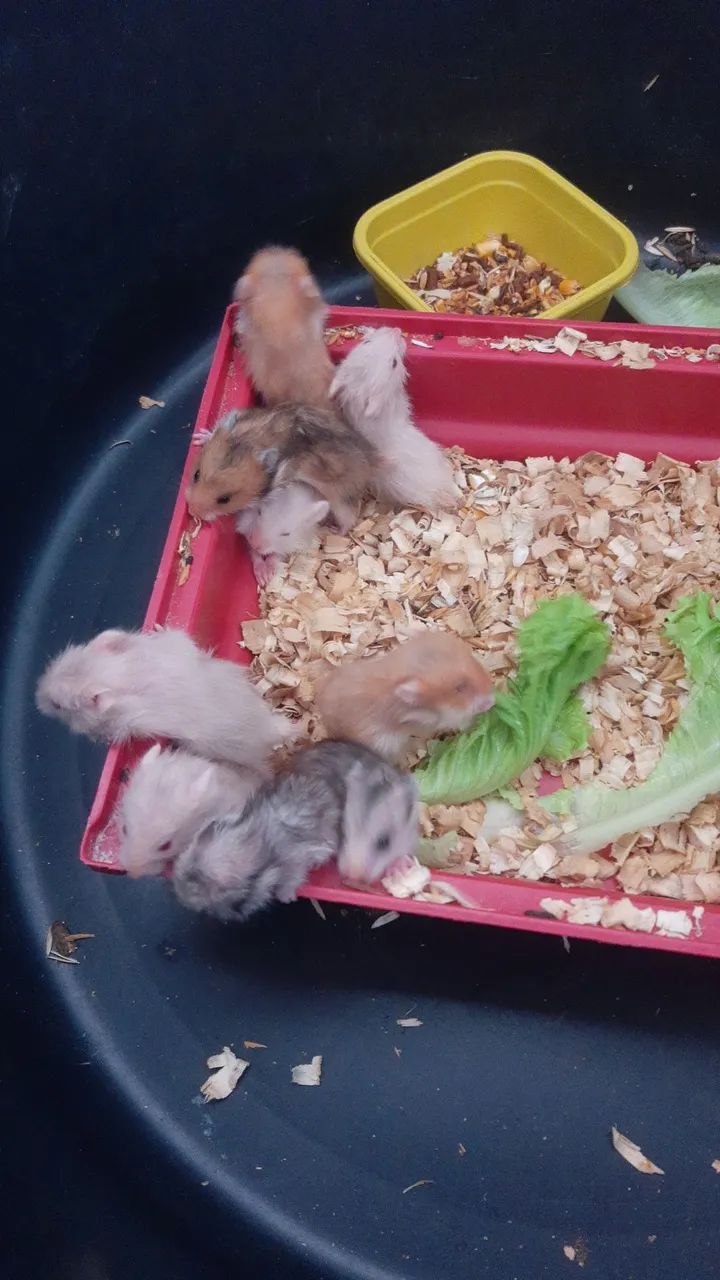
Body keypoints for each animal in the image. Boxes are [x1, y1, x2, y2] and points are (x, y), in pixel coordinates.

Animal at [171, 740, 419, 921]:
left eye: (237, 901)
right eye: (345, 832)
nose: (180, 896)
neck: (259, 836)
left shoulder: (294, 863)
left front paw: (286, 899)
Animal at [186, 402, 376, 530]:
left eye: (225, 499)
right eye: (196, 474)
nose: (191, 511)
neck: (252, 443)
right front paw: (199, 437)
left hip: (342, 497)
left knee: (350, 519)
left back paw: (334, 529)